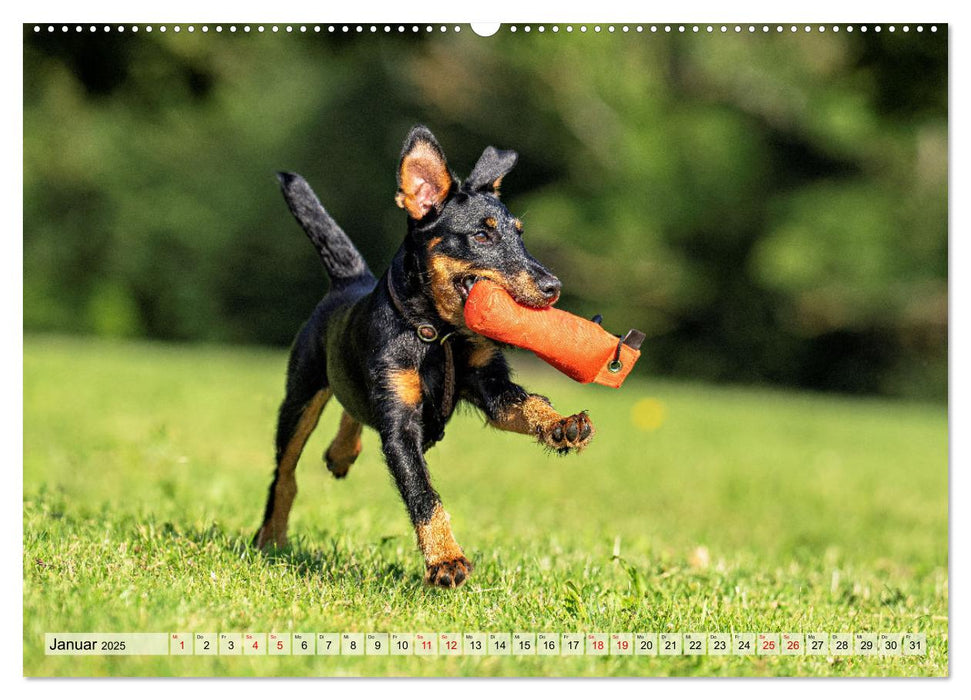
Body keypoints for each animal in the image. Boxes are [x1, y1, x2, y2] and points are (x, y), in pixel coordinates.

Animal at [254, 126, 592, 584]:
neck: (438, 334)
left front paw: (563, 425)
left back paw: (341, 453)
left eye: (519, 234)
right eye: (482, 236)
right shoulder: (400, 426)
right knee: (285, 473)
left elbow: (527, 404)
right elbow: (423, 495)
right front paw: (446, 561)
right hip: (300, 394)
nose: (553, 287)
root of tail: (350, 281)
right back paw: (271, 537)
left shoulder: (491, 386)